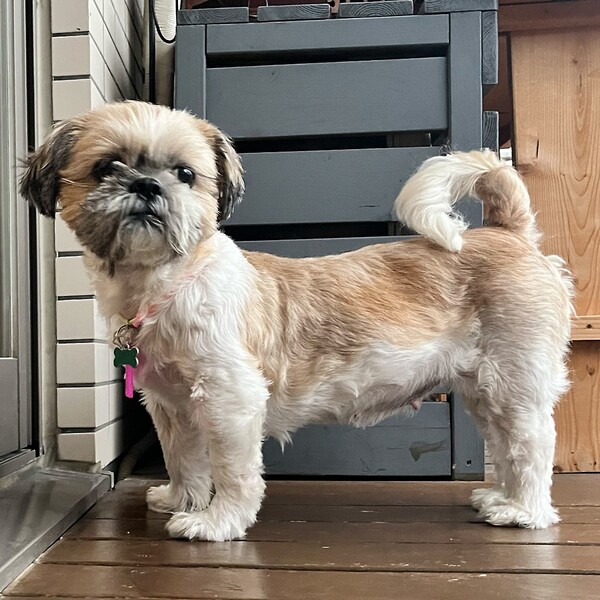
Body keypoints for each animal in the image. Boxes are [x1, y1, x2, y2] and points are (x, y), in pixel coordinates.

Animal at [21, 101, 573, 541]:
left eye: (185, 174)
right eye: (105, 167)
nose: (147, 184)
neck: (165, 283)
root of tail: (509, 233)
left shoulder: (229, 398)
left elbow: (232, 470)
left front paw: (216, 522)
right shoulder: (172, 405)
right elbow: (183, 459)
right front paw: (182, 500)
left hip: (513, 381)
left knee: (531, 445)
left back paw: (525, 513)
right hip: (485, 390)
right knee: (506, 445)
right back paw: (501, 499)